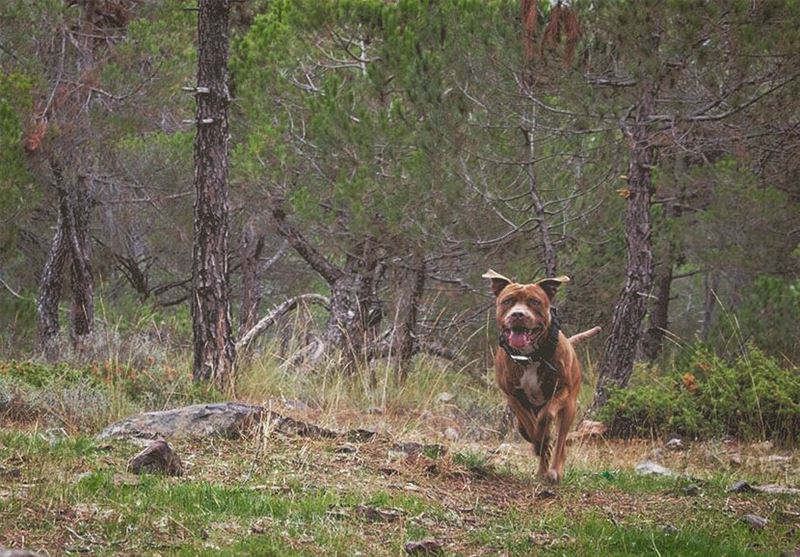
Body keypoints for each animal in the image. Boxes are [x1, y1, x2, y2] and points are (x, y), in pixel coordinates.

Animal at [482, 270, 592, 482]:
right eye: (508, 301)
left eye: (534, 301)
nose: (518, 314)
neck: (530, 357)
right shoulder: (513, 396)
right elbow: (527, 424)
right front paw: (537, 441)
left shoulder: (562, 391)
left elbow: (546, 416)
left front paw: (542, 438)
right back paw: (541, 467)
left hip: (570, 408)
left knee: (560, 442)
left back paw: (554, 470)